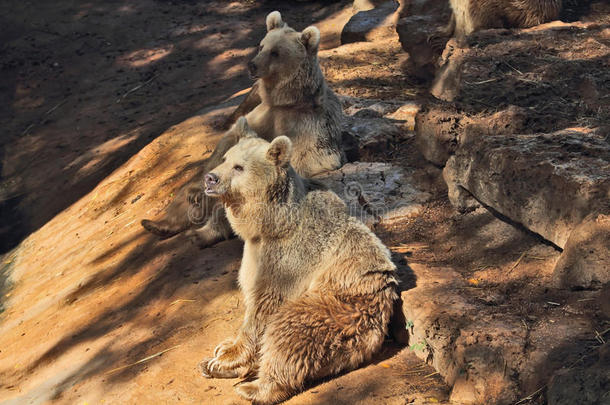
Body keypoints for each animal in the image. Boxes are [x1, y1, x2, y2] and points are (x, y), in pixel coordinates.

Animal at [197, 117, 396, 404]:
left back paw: (254, 388)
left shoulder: (289, 256)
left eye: (239, 167)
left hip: (342, 308)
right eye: (225, 158)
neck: (269, 223)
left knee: (290, 331)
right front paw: (222, 351)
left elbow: (266, 305)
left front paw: (227, 358)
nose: (210, 178)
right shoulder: (254, 253)